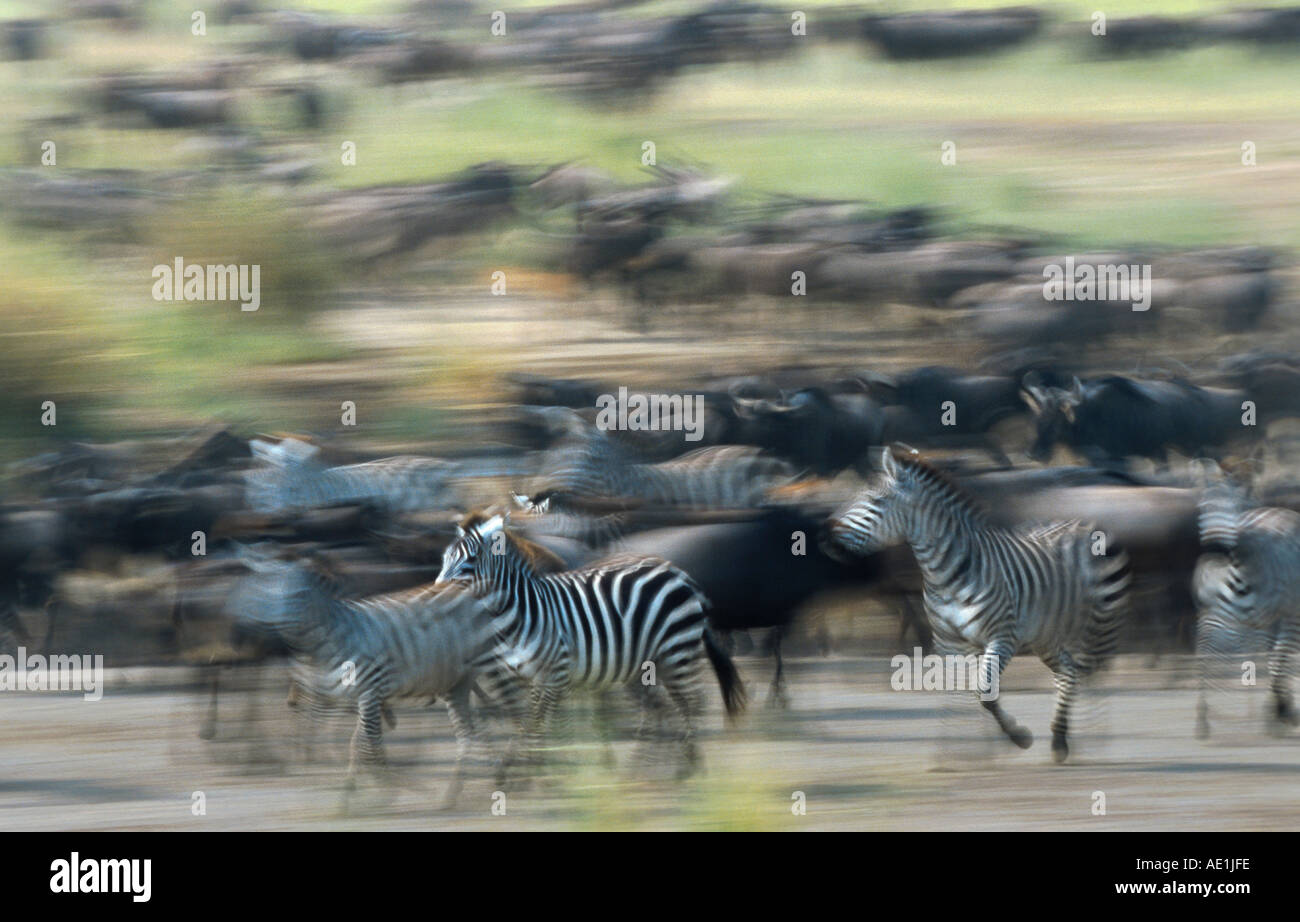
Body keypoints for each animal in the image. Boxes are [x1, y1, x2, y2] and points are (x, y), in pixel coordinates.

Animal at [228, 546, 517, 806]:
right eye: (267, 593)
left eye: (300, 595)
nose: (272, 633)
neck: (330, 640)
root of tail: (469, 584)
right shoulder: (359, 695)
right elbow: (360, 742)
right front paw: (364, 788)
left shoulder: (369, 690)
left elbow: (368, 743)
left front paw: (380, 790)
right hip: (456, 681)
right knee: (472, 729)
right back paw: (467, 787)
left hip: (491, 666)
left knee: (515, 712)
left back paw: (518, 773)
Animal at [832, 447, 1128, 764]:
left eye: (876, 502)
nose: (830, 541)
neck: (944, 575)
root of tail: (1084, 524)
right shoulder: (951, 643)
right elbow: (959, 691)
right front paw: (960, 749)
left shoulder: (1002, 638)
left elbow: (983, 692)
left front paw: (1018, 737)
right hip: (1045, 634)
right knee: (1068, 673)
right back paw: (1060, 740)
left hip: (1098, 622)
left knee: (1093, 675)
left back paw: (1092, 739)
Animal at [1190, 478, 1300, 738]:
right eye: (1202, 509)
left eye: (1233, 508)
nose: (1213, 554)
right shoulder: (1213, 620)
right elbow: (1204, 655)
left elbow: (1277, 660)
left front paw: (1279, 710)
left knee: (1278, 654)